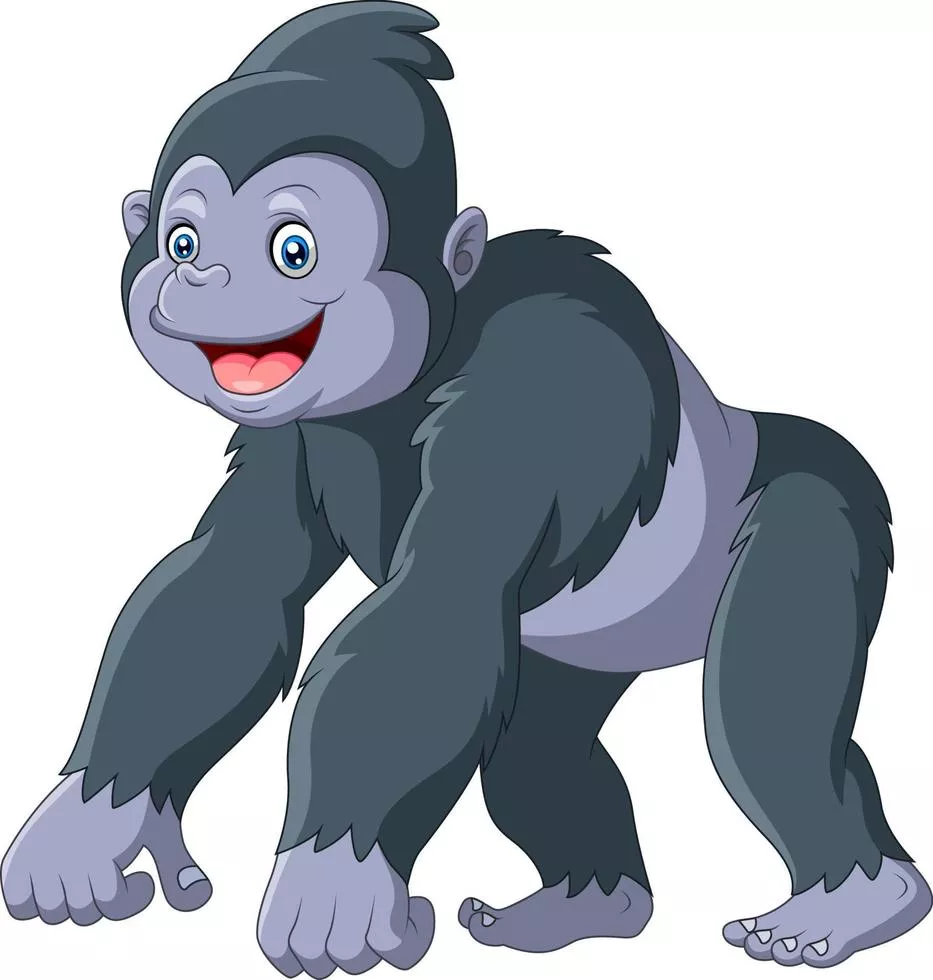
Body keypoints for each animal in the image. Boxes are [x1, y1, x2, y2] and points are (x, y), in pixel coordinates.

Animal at [2, 2, 930, 976]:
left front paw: (333, 877)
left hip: (824, 500)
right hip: (576, 652)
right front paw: (85, 823)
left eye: (292, 249)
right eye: (181, 241)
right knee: (537, 752)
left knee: (766, 705)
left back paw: (850, 901)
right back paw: (587, 905)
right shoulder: (285, 436)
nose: (204, 274)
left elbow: (438, 601)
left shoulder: (538, 384)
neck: (408, 375)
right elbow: (233, 585)